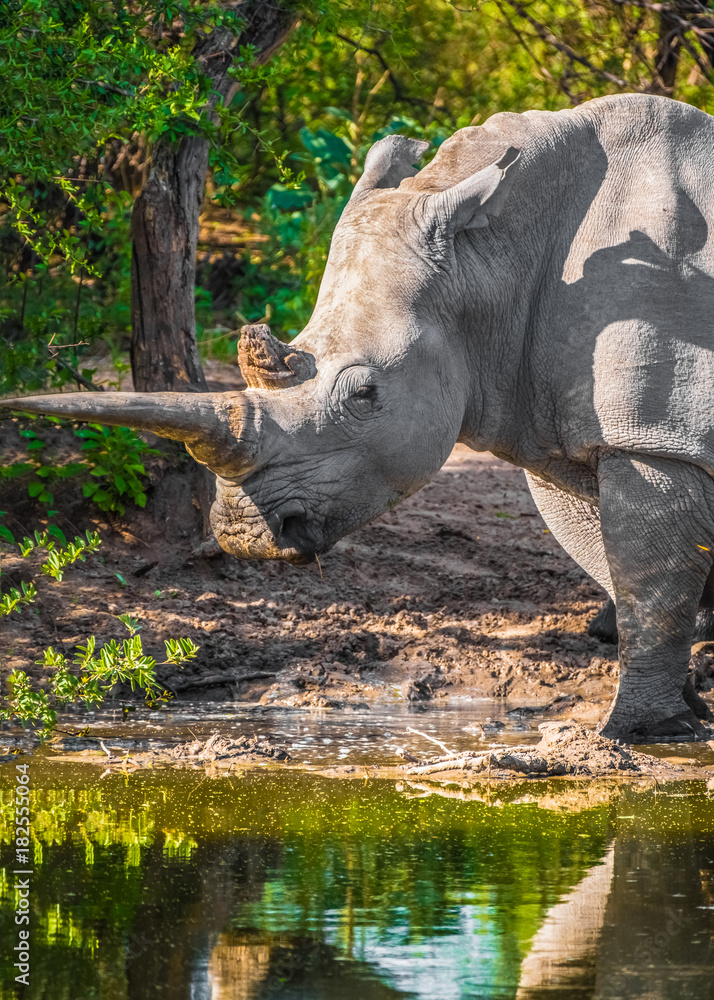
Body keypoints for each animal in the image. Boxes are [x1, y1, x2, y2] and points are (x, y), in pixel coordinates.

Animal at [5, 92, 714, 744]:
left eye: (366, 394)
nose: (245, 535)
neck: (493, 261)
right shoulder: (564, 432)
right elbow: (623, 568)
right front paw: (689, 703)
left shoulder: (652, 438)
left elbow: (650, 588)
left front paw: (640, 731)